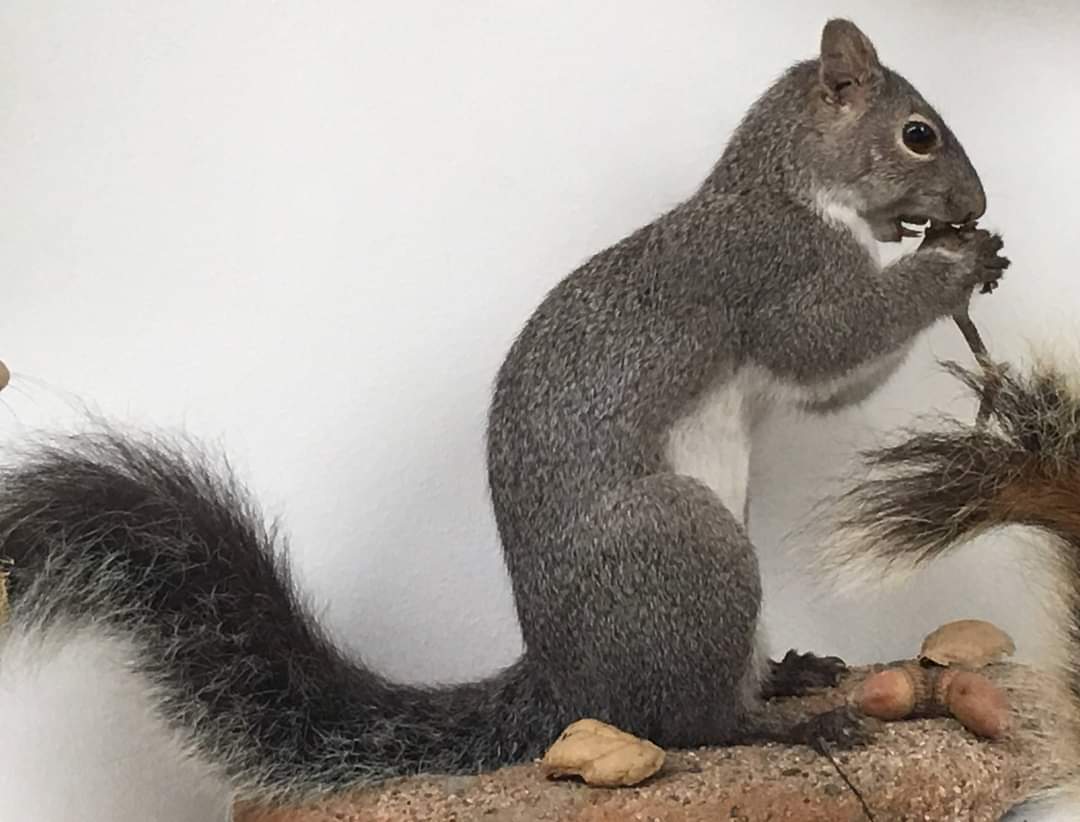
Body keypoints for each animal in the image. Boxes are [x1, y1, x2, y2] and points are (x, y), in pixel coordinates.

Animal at [0, 18, 1008, 805]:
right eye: (918, 134)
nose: (977, 203)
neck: (792, 191)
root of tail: (563, 678)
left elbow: (833, 382)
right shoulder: (771, 273)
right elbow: (831, 339)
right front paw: (952, 264)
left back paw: (793, 673)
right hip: (686, 546)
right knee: (686, 722)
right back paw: (790, 727)